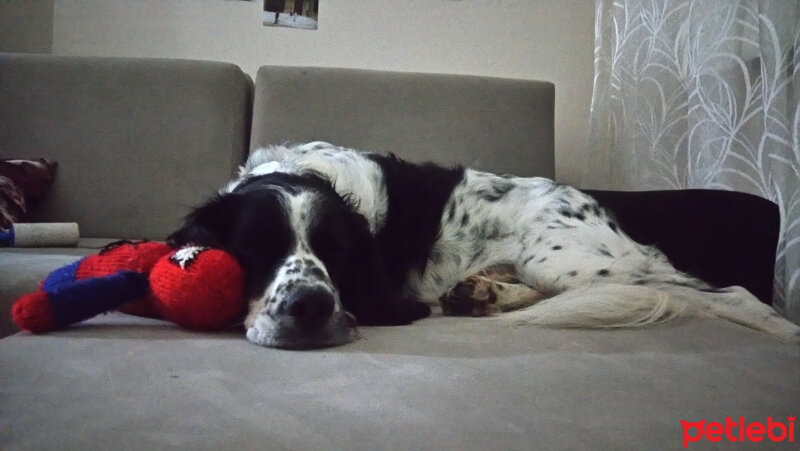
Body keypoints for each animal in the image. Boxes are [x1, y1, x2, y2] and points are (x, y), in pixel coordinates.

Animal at [169, 142, 800, 350]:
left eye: (338, 251)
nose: (310, 309)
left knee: (733, 294)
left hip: (568, 263)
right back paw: (480, 295)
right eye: (254, 247)